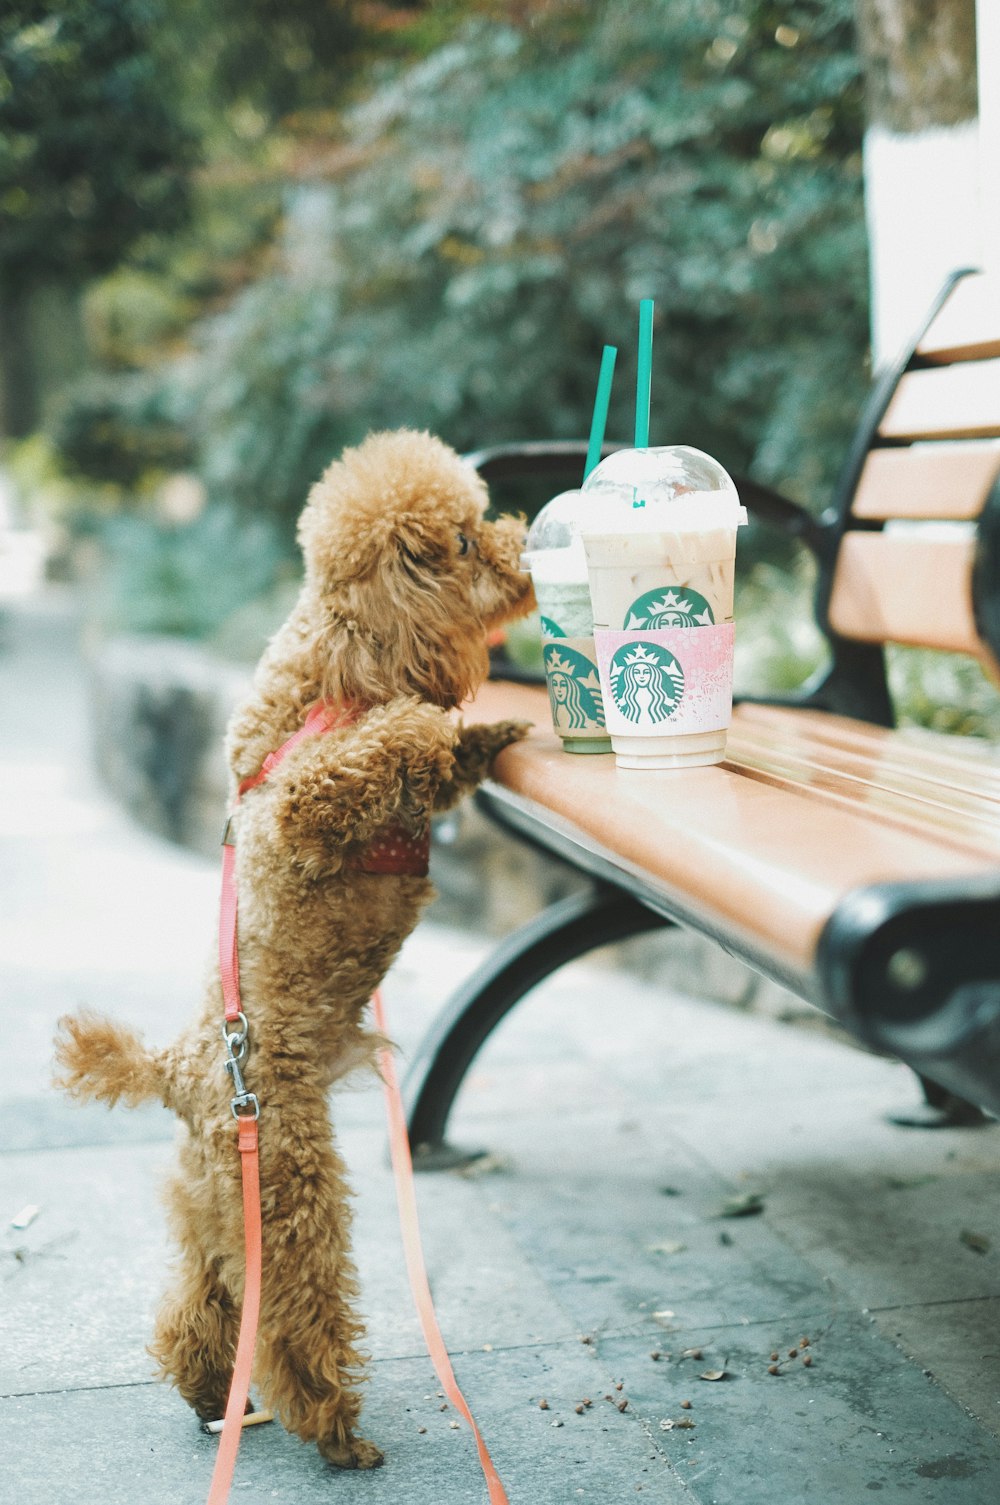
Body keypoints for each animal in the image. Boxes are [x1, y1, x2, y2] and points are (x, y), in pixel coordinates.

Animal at [52, 430, 539, 1462]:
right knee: (288, 1310)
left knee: (201, 1301)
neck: (337, 668)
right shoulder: (308, 800)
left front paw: (498, 727)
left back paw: (208, 1387)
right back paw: (335, 1427)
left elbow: (442, 758)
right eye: (464, 542)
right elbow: (397, 737)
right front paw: (437, 718)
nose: (523, 543)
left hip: (216, 1197)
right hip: (288, 1180)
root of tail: (177, 1067)